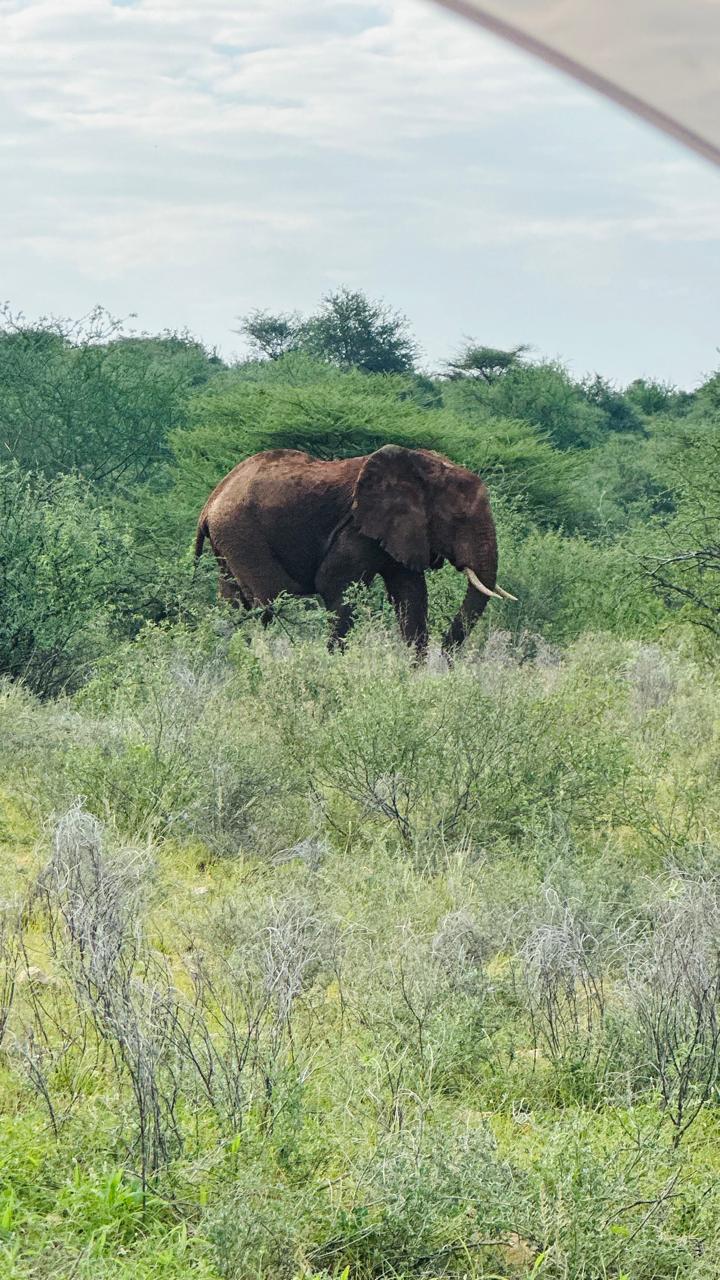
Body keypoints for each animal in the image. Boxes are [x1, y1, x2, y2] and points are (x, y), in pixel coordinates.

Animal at [194, 444, 515, 656]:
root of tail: (212, 500)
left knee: (234, 602)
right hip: (243, 532)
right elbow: (335, 585)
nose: (446, 654)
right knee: (269, 601)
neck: (421, 468)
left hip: (229, 539)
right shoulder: (357, 528)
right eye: (459, 519)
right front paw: (333, 663)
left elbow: (411, 594)